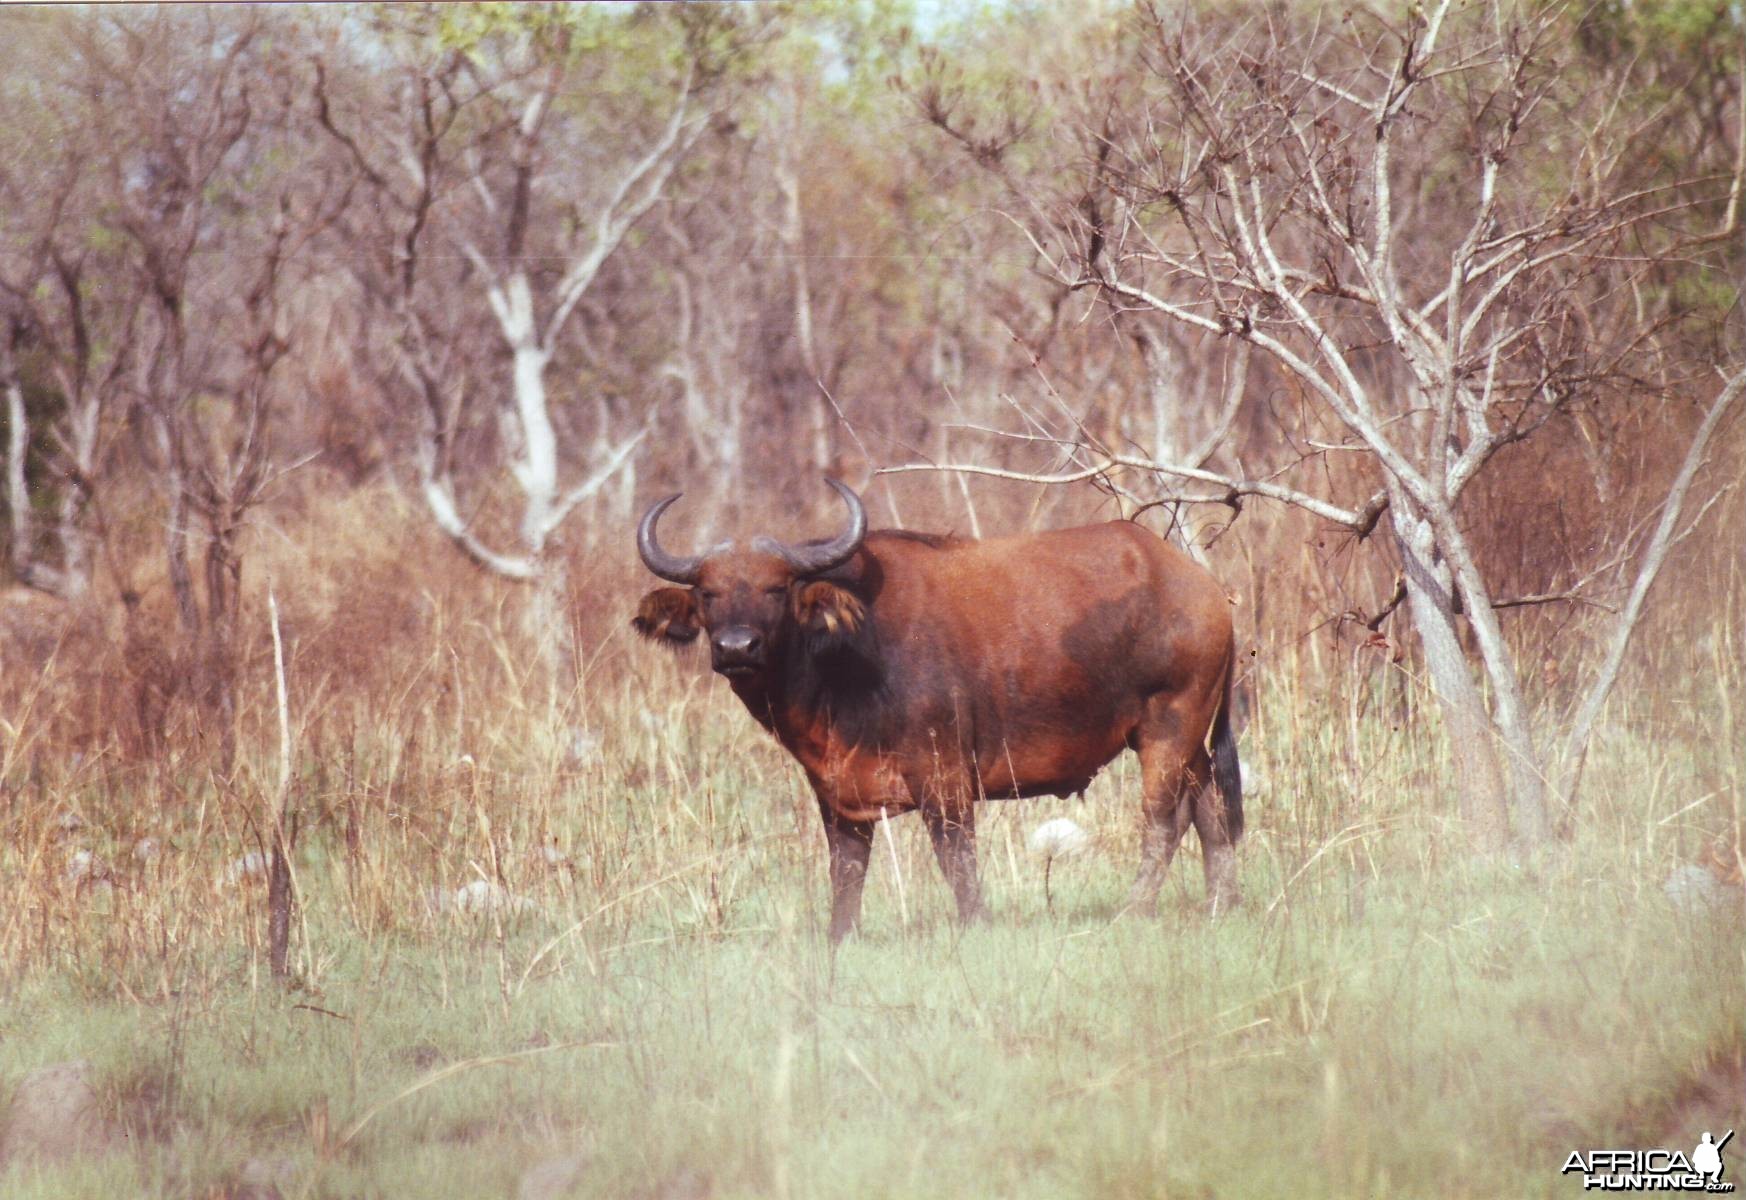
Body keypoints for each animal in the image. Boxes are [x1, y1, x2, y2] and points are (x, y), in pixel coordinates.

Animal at [632, 475, 1243, 936]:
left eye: (776, 589)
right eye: (708, 593)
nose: (737, 648)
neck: (848, 660)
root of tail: (1204, 589)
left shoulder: (945, 781)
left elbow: (956, 861)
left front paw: (975, 926)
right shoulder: (834, 792)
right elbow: (846, 870)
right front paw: (841, 937)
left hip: (1169, 727)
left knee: (1162, 819)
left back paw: (1134, 910)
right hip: (1188, 739)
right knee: (1208, 810)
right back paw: (1220, 905)